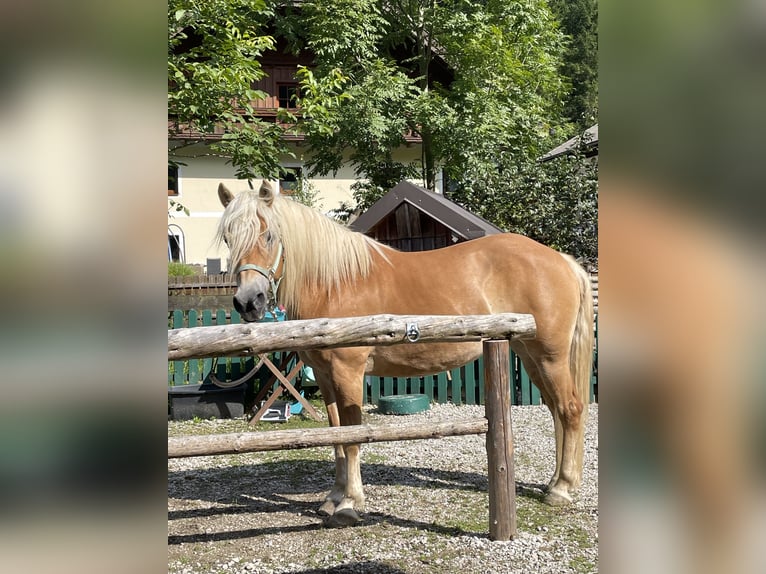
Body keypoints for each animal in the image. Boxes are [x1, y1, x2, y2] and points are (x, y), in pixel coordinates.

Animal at [218, 180, 600, 528]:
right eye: (228, 237)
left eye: (269, 235)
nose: (248, 302)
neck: (336, 282)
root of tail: (561, 260)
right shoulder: (326, 378)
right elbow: (337, 435)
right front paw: (334, 497)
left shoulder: (348, 372)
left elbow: (353, 437)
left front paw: (350, 503)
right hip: (529, 354)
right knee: (556, 410)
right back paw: (554, 482)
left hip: (550, 357)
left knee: (570, 409)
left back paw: (561, 489)